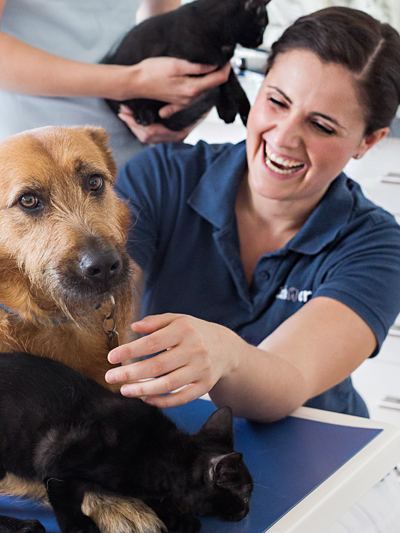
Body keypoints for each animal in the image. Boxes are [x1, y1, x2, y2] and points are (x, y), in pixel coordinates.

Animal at [0, 354, 253, 532]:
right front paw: (79, 527)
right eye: (245, 496)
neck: (161, 450)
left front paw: (178, 519)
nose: (247, 511)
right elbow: (67, 504)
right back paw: (23, 526)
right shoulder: (55, 463)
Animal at [103, 0, 272, 130]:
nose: (261, 42)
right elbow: (223, 82)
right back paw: (145, 116)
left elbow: (232, 82)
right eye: (263, 27)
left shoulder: (222, 62)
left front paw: (245, 111)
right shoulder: (188, 61)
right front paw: (228, 109)